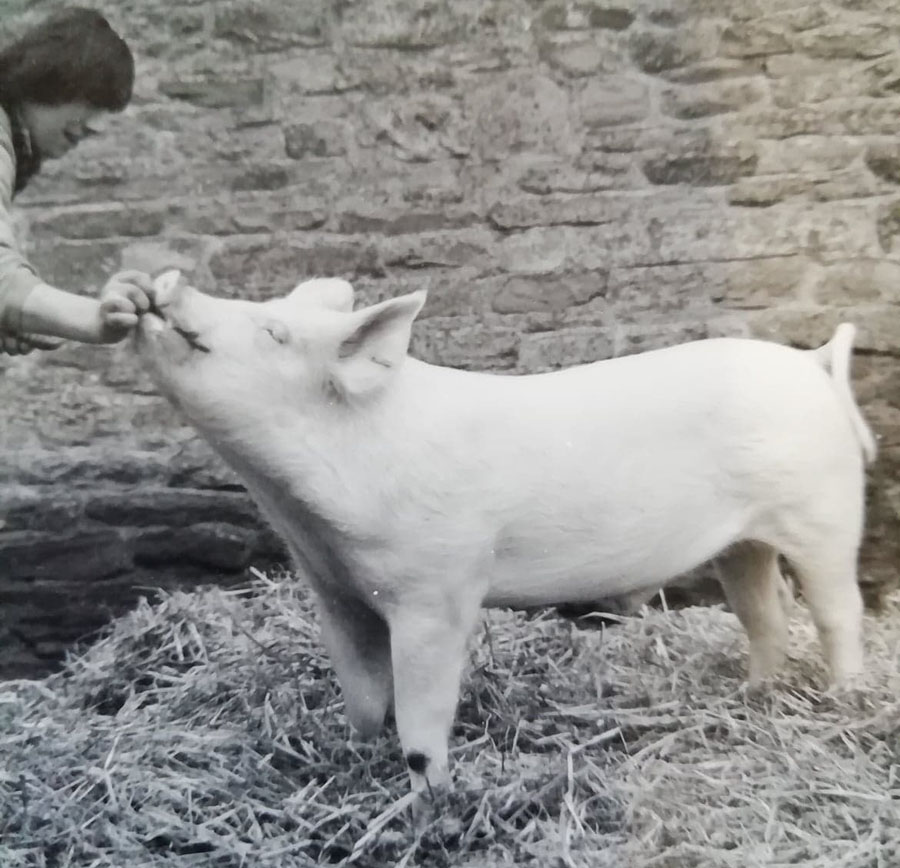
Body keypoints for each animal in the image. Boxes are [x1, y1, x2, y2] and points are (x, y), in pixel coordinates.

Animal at [137, 270, 876, 800]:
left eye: (273, 331)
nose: (167, 283)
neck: (302, 509)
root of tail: (812, 365)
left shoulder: (437, 589)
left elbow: (421, 717)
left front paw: (430, 800)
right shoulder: (334, 589)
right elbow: (363, 696)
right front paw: (353, 758)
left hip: (823, 510)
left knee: (839, 610)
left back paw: (845, 701)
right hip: (743, 540)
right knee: (764, 611)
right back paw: (751, 696)